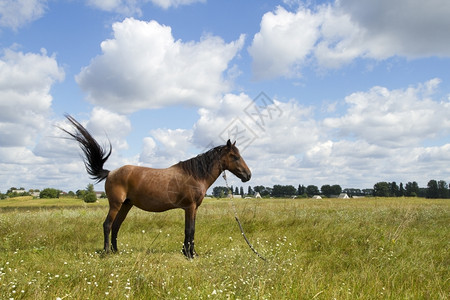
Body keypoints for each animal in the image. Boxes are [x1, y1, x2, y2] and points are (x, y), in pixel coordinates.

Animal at [60, 115, 251, 258]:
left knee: (116, 226)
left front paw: (191, 253)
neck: (195, 175)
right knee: (107, 225)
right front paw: (189, 255)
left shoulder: (194, 208)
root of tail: (110, 172)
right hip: (115, 204)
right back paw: (106, 252)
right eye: (235, 156)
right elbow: (189, 230)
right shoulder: (189, 207)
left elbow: (192, 230)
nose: (248, 175)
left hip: (126, 205)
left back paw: (116, 251)